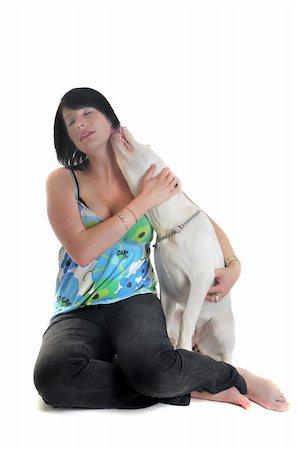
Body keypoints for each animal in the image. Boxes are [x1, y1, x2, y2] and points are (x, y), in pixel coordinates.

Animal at [110, 126, 237, 362]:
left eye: (147, 146)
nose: (121, 127)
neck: (170, 223)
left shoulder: (201, 279)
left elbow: (189, 316)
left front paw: (183, 348)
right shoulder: (168, 289)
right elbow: (166, 319)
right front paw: (171, 344)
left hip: (220, 327)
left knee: (227, 355)